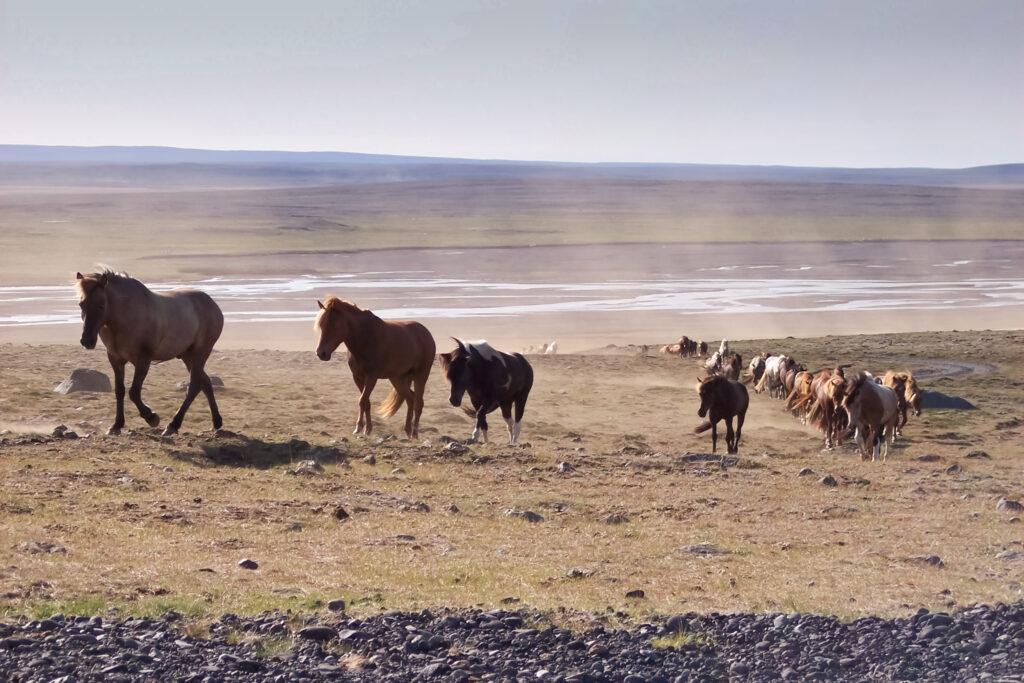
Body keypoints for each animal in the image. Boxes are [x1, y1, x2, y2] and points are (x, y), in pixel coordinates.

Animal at [76, 270, 223, 436]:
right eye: (81, 304)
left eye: (101, 305)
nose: (87, 340)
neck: (125, 317)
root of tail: (213, 305)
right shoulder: (116, 359)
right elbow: (120, 391)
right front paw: (116, 425)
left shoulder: (143, 360)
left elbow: (134, 392)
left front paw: (151, 417)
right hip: (187, 356)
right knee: (205, 383)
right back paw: (216, 422)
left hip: (200, 354)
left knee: (194, 387)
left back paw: (173, 425)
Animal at [315, 296, 435, 439]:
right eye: (322, 325)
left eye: (334, 325)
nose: (321, 353)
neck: (366, 337)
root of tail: (426, 333)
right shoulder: (357, 377)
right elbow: (366, 402)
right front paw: (367, 429)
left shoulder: (372, 377)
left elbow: (362, 400)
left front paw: (359, 428)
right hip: (397, 378)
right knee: (410, 398)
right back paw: (408, 431)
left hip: (421, 375)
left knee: (418, 403)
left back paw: (415, 434)